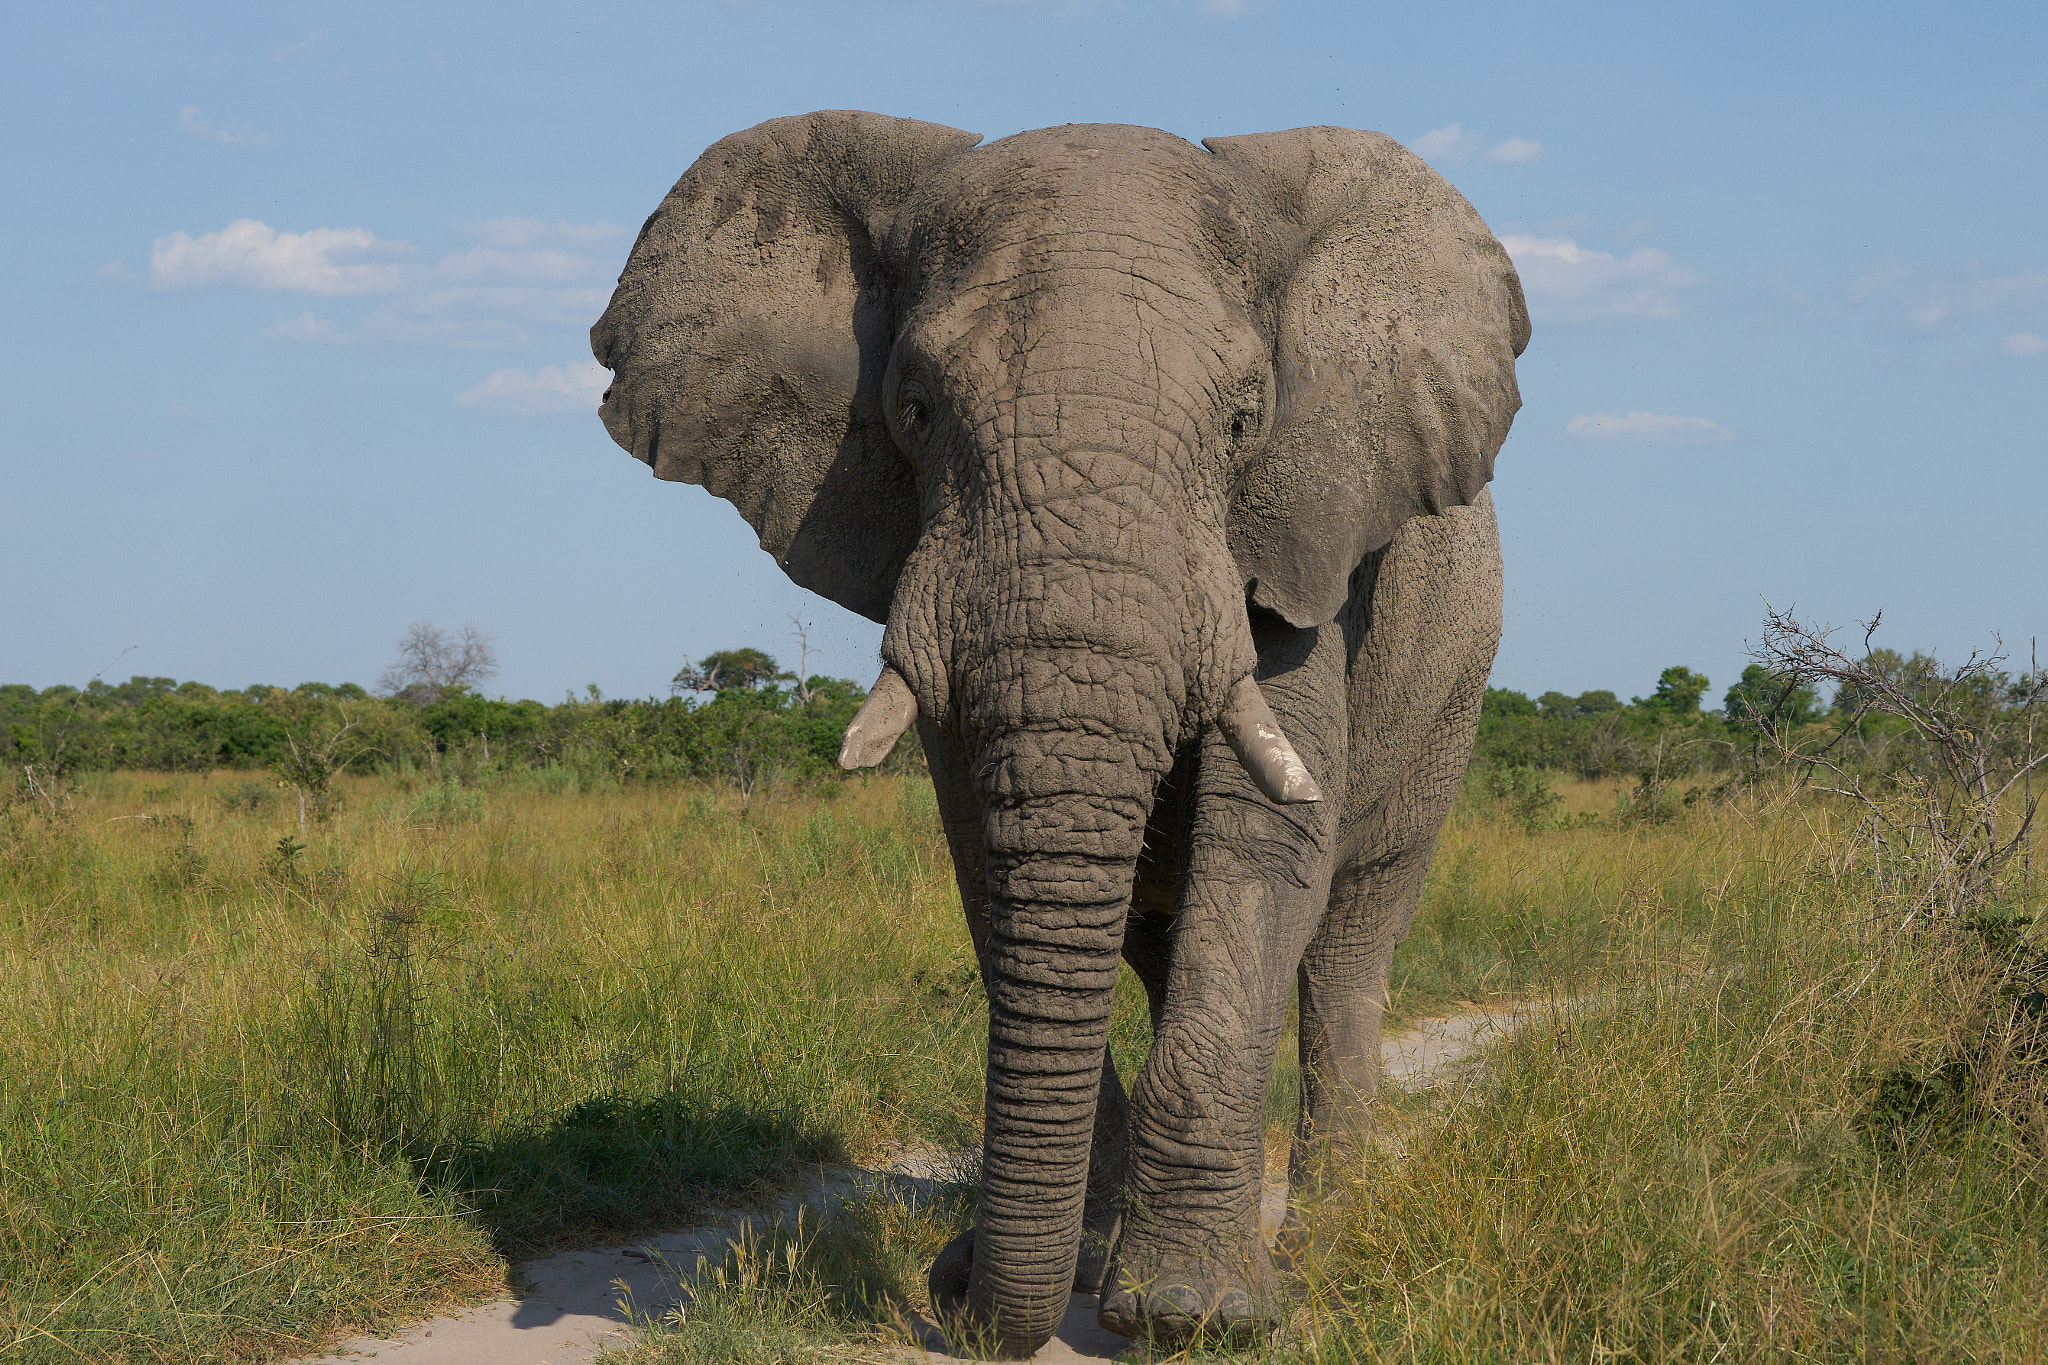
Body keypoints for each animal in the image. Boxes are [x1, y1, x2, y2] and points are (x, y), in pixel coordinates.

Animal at [589, 109, 1523, 1358]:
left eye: (1244, 422)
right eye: (915, 409)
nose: (946, 1293)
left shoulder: (1299, 549)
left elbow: (1266, 846)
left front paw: (1190, 1314)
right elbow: (985, 852)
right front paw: (1079, 1274)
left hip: (1447, 700)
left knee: (1347, 950)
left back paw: (1321, 1252)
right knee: (1160, 947)